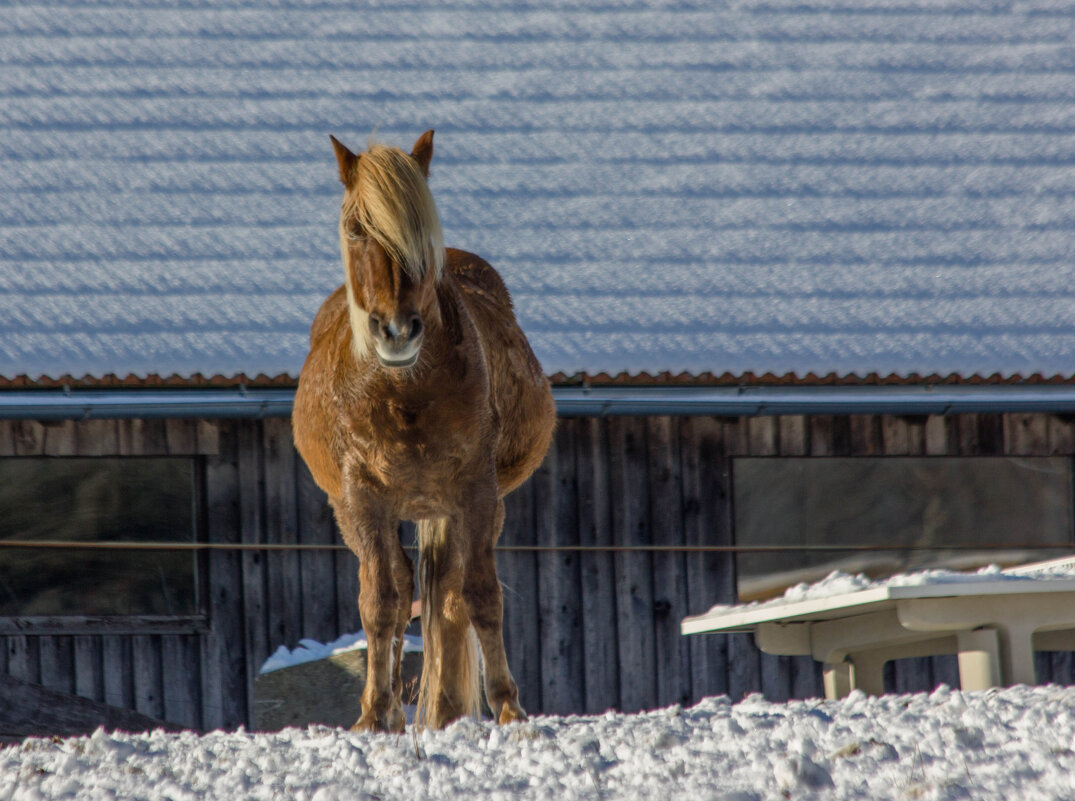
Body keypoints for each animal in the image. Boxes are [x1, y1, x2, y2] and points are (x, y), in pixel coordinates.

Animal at [294, 129, 559, 731]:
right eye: (355, 228)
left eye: (421, 235)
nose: (397, 331)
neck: (402, 393)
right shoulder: (362, 499)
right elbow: (380, 603)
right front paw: (374, 714)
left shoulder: (476, 493)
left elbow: (480, 595)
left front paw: (507, 707)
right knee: (398, 591)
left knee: (451, 602)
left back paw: (444, 712)